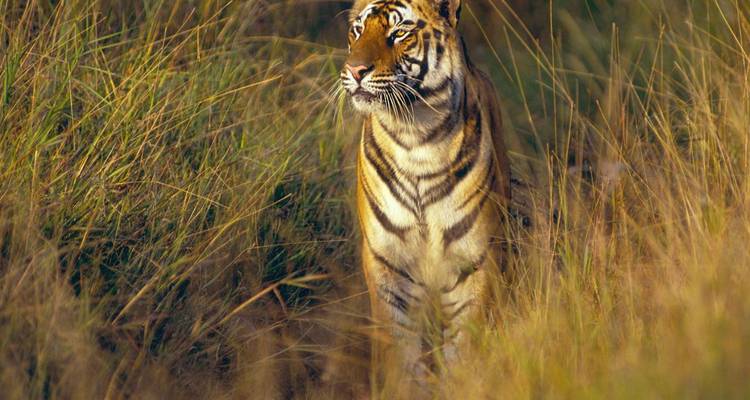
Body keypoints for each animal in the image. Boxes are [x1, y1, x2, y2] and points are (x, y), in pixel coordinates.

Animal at [340, 0, 511, 383]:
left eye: (399, 32)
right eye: (357, 31)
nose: (355, 70)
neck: (415, 137)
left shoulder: (474, 262)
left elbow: (464, 350)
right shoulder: (387, 263)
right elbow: (399, 351)